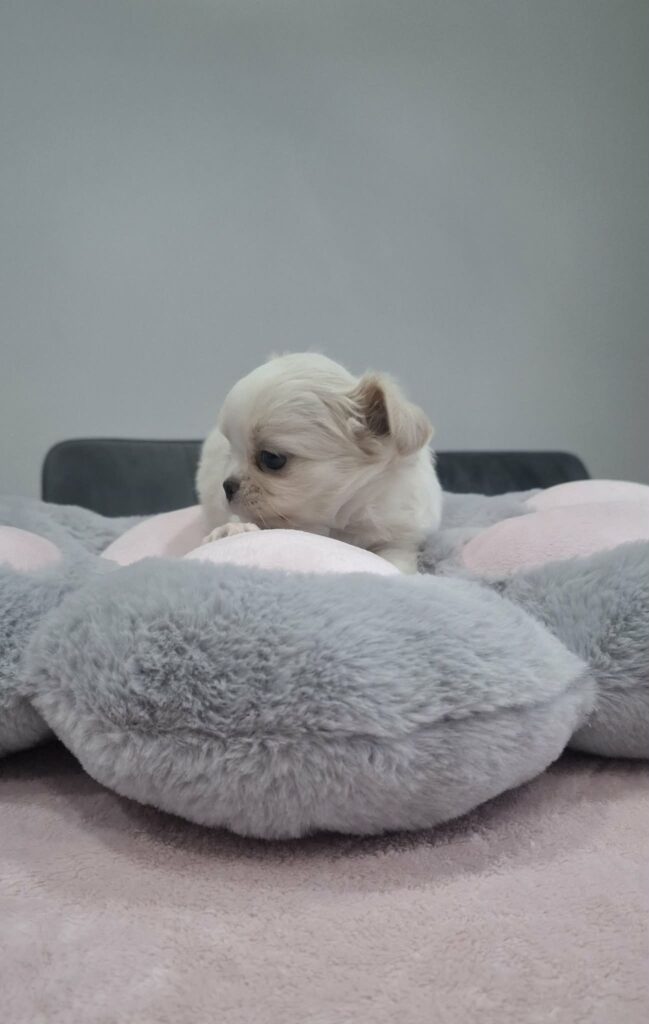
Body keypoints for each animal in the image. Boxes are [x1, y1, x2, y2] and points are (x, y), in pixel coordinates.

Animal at [196, 353, 442, 573]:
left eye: (272, 458)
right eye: (231, 453)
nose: (227, 486)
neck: (337, 524)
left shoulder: (400, 538)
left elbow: (392, 559)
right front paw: (232, 529)